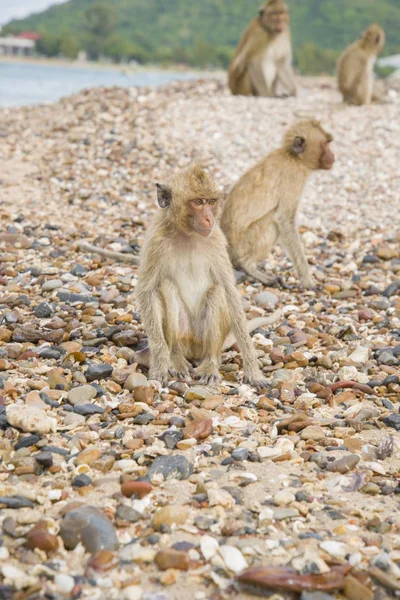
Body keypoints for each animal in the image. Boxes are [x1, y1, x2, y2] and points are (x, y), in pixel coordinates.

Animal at [134, 164, 268, 390]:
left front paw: (253, 370)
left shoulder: (217, 240)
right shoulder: (155, 241)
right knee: (167, 286)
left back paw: (210, 364)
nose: (209, 218)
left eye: (211, 202)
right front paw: (160, 364)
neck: (187, 234)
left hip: (203, 340)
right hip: (186, 337)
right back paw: (176, 357)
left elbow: (229, 291)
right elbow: (147, 291)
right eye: (197, 202)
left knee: (217, 292)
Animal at [220, 120, 336, 288]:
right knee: (271, 219)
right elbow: (283, 219)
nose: (333, 155)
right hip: (243, 244)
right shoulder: (293, 177)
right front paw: (308, 282)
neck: (294, 157)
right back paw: (247, 265)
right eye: (326, 144)